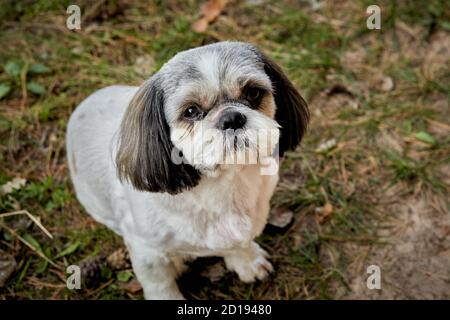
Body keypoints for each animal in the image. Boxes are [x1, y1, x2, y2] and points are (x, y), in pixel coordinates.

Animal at [67, 41, 310, 298]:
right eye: (191, 111)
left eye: (253, 93)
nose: (231, 118)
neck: (224, 185)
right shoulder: (147, 250)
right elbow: (159, 283)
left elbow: (237, 242)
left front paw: (246, 259)